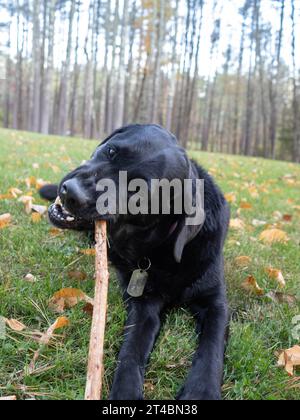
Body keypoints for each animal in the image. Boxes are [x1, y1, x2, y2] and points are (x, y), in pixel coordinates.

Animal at [40, 124, 230, 400]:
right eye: (111, 151)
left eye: (138, 191)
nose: (71, 192)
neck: (160, 251)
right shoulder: (143, 305)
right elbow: (131, 350)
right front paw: (125, 392)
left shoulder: (216, 303)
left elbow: (212, 346)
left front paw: (201, 391)